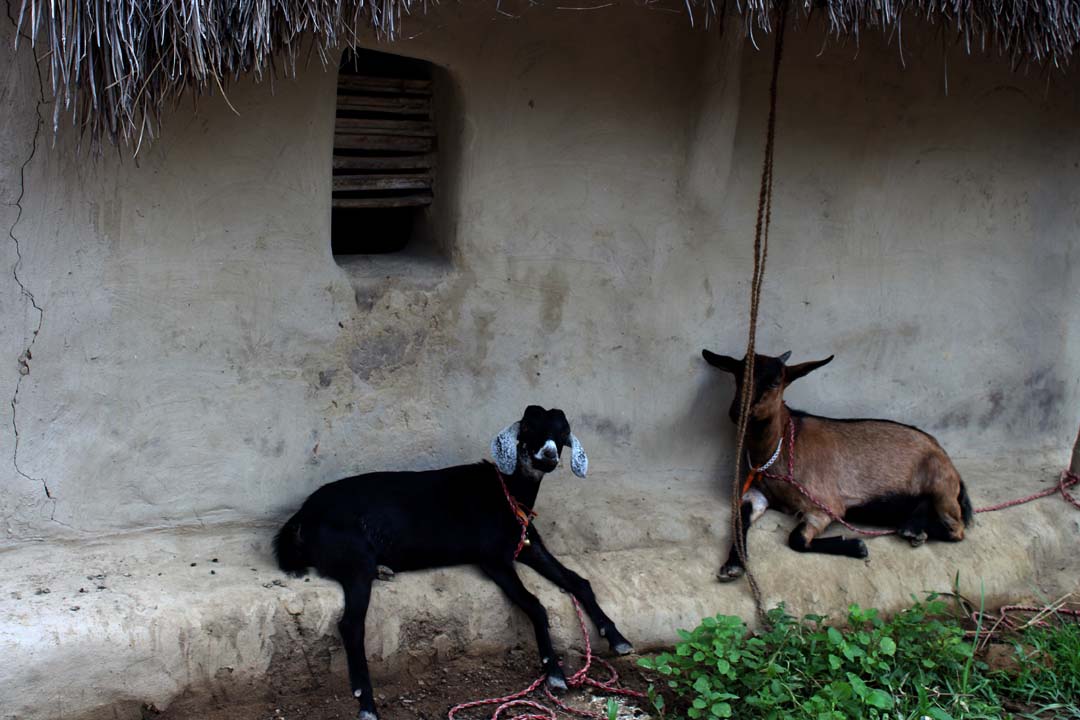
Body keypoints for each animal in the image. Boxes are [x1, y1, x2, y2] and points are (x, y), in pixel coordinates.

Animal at [272, 405, 630, 720]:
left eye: (563, 433)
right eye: (528, 427)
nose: (549, 456)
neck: (508, 492)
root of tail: (302, 517)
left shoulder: (529, 546)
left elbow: (578, 581)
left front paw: (616, 637)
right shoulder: (494, 559)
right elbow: (535, 604)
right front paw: (554, 671)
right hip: (355, 558)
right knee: (350, 624)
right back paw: (367, 704)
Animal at [704, 351, 976, 582]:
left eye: (775, 382)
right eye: (738, 375)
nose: (737, 412)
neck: (780, 447)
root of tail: (947, 460)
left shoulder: (824, 505)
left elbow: (797, 540)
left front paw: (856, 546)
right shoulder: (757, 493)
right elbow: (740, 517)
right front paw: (732, 565)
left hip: (941, 487)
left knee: (957, 529)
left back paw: (914, 530)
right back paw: (913, 528)